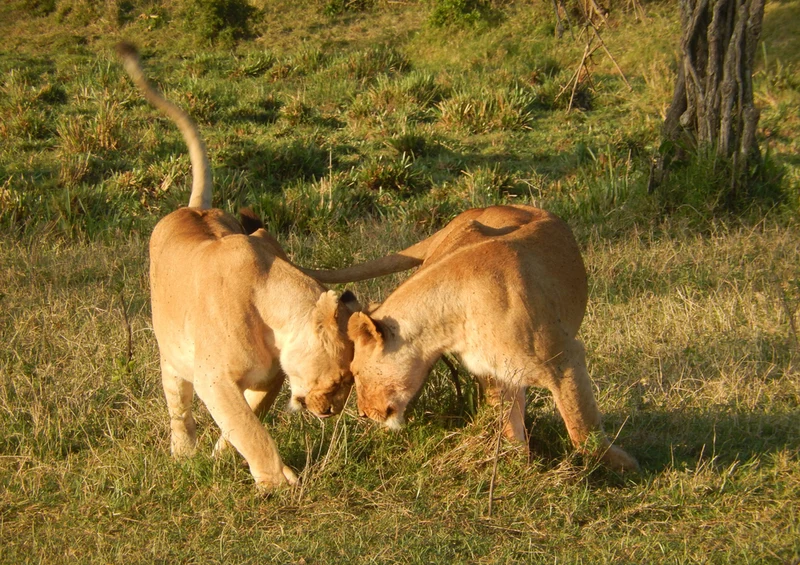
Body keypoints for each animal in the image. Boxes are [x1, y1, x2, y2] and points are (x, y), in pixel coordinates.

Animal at [116, 43, 360, 489]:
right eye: (340, 379)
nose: (329, 413)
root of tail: (192, 209)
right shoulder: (213, 378)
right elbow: (249, 429)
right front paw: (277, 483)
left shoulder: (271, 377)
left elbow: (247, 419)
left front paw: (224, 457)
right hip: (172, 357)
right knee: (178, 407)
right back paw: (183, 454)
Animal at [309, 204, 639, 472]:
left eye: (355, 373)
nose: (364, 414)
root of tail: (473, 210)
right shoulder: (494, 373)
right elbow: (508, 423)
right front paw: (517, 467)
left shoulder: (565, 359)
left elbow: (581, 426)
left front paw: (623, 468)